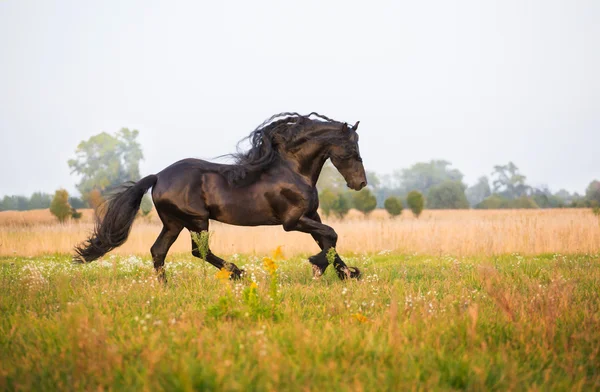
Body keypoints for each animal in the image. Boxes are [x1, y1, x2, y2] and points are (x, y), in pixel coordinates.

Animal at [75, 112, 366, 280]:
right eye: (351, 149)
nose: (360, 183)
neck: (292, 169)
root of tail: (158, 176)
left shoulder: (311, 215)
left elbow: (327, 239)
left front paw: (347, 272)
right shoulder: (292, 221)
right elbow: (331, 235)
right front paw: (320, 267)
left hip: (173, 223)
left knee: (158, 251)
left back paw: (165, 286)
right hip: (196, 221)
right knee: (198, 251)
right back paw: (237, 272)